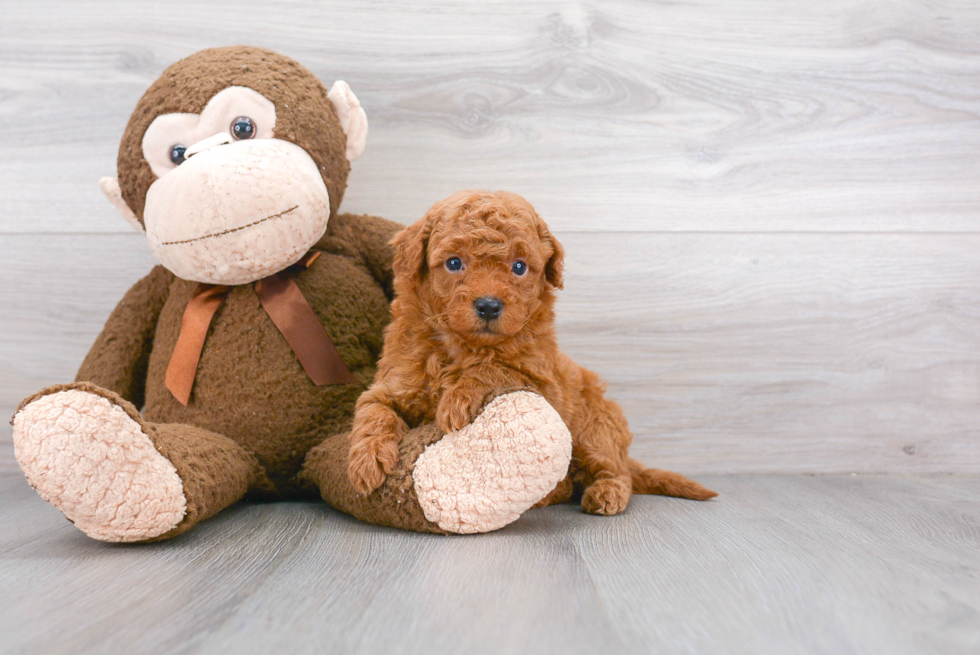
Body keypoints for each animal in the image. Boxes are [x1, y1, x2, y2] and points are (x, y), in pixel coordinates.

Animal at [348, 192, 716, 516]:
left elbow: (497, 368)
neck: (463, 347)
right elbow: (372, 410)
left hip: (593, 430)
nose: (488, 305)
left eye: (519, 267)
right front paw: (366, 462)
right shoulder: (392, 384)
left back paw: (606, 493)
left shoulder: (544, 385)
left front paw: (457, 398)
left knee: (615, 471)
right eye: (454, 263)